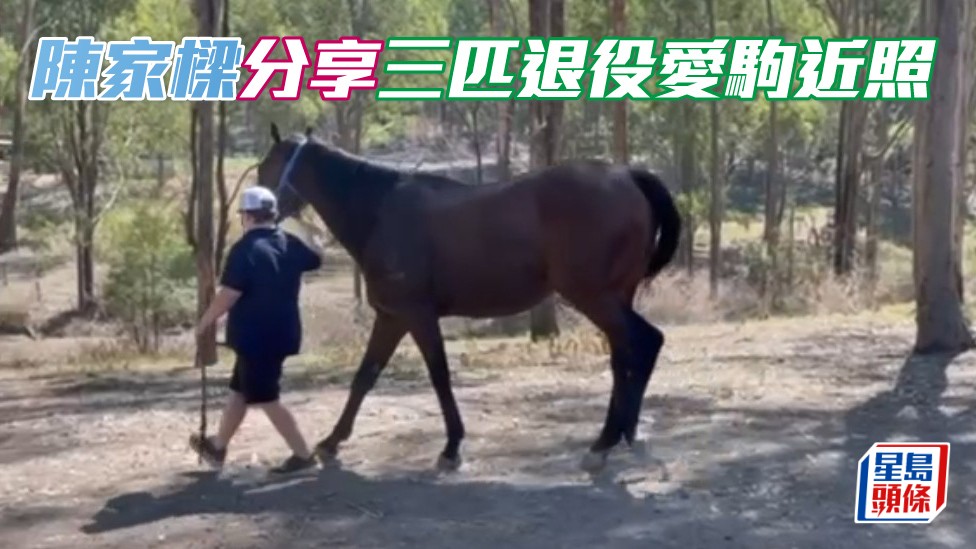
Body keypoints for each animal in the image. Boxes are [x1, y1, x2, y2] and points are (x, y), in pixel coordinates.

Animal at [256, 123, 682, 473]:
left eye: (266, 168)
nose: (262, 210)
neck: (381, 210)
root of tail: (626, 174)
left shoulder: (417, 315)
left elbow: (439, 376)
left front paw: (452, 447)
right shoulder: (391, 316)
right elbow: (365, 376)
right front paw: (331, 442)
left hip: (595, 296)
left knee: (645, 343)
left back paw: (609, 441)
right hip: (615, 296)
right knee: (626, 356)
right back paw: (618, 436)